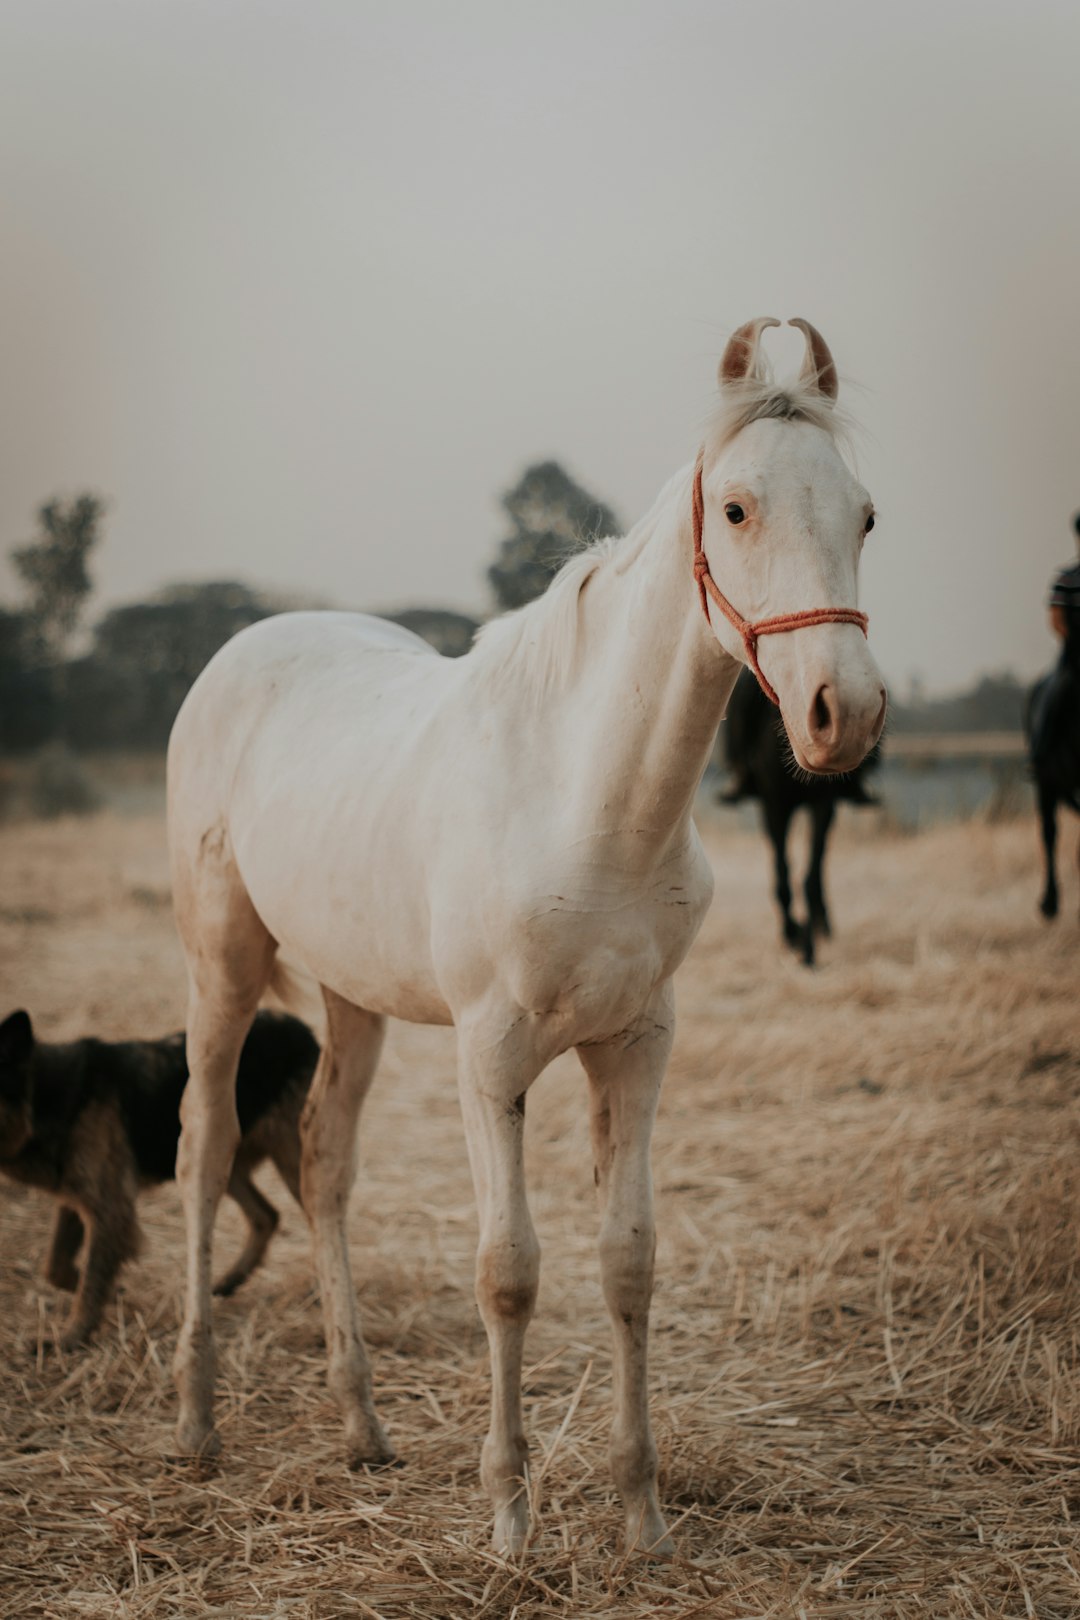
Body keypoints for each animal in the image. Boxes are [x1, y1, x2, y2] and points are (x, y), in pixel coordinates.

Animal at [0, 1004, 318, 1347]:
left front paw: (69, 1339)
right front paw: (113, 1292)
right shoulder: (77, 1199)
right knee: (266, 1215)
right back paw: (230, 1281)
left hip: (297, 1166)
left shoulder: (109, 1210)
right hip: (218, 1166)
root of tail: (298, 1026)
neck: (48, 1096)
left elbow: (91, 1281)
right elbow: (56, 1266)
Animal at [722, 667, 880, 959]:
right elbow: (782, 868)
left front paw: (810, 936)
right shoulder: (774, 805)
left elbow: (813, 868)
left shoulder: (823, 803)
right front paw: (792, 933)